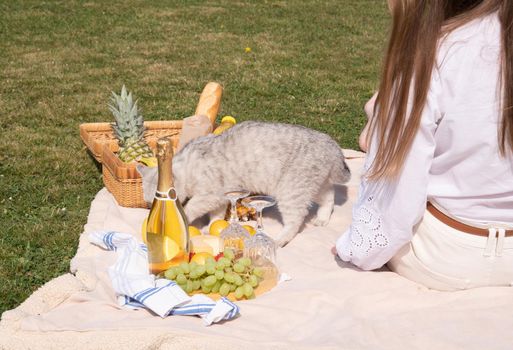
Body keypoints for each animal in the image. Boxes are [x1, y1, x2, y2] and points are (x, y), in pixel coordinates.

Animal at [171, 120, 348, 246]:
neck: (187, 165)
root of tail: (331, 144)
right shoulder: (221, 195)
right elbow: (217, 214)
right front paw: (212, 225)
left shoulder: (210, 194)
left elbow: (192, 207)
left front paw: (185, 216)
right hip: (314, 184)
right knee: (329, 195)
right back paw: (323, 218)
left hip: (291, 190)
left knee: (296, 219)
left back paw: (280, 239)